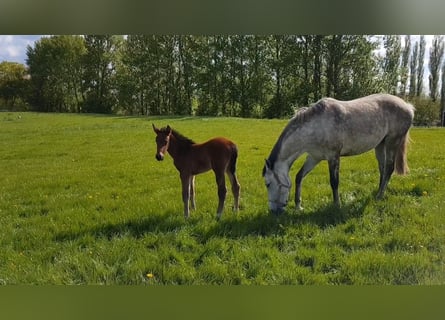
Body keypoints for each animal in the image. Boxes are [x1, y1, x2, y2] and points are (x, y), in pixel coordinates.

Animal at [262, 94, 414, 214]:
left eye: (268, 184)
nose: (273, 211)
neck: (316, 126)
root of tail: (408, 106)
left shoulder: (333, 157)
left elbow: (334, 182)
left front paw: (337, 205)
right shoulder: (314, 157)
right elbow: (299, 177)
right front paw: (298, 206)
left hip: (392, 142)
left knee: (389, 168)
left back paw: (379, 196)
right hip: (380, 145)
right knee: (382, 169)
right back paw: (378, 192)